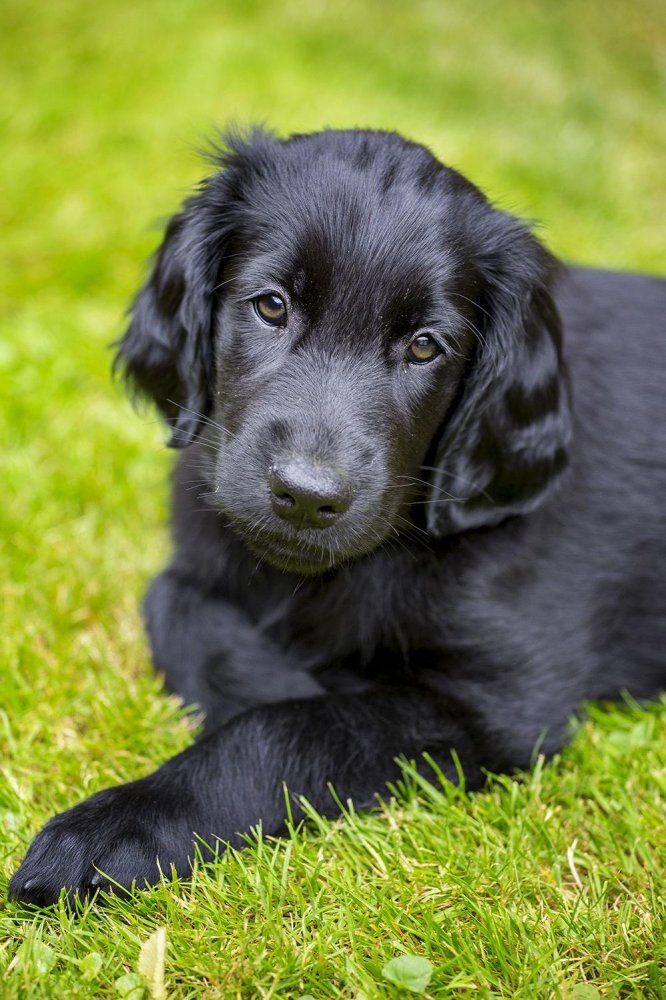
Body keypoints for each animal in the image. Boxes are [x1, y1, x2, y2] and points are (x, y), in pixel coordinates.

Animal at [9, 127, 660, 908]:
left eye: (424, 346)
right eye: (271, 305)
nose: (307, 496)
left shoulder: (503, 701)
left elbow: (281, 729)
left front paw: (113, 828)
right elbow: (170, 601)